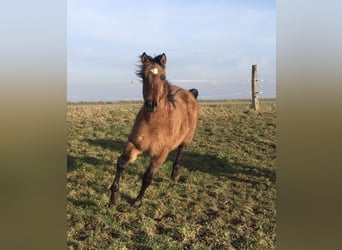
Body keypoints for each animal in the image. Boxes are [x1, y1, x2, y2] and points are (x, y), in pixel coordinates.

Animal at [109, 51, 199, 206]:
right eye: (144, 77)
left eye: (162, 77)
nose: (151, 105)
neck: (154, 123)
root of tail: (189, 93)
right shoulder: (134, 144)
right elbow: (121, 163)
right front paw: (114, 196)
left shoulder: (160, 154)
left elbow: (148, 177)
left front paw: (137, 201)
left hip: (186, 140)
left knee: (180, 154)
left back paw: (175, 175)